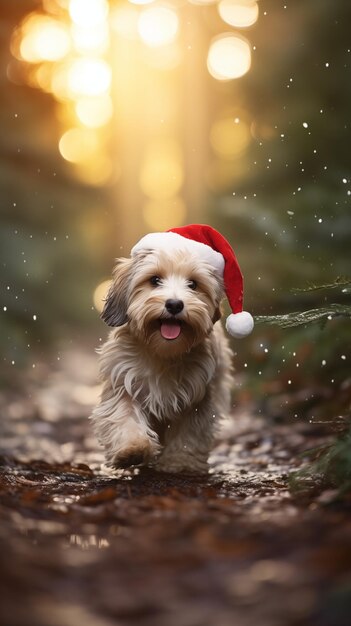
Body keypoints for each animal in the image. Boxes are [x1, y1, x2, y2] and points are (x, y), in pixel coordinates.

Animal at [92, 225, 254, 472]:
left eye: (193, 284)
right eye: (155, 280)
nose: (175, 304)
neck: (163, 353)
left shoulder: (198, 396)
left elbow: (190, 431)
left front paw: (180, 461)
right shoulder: (123, 382)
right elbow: (124, 415)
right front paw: (132, 449)